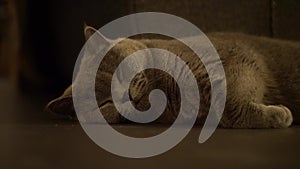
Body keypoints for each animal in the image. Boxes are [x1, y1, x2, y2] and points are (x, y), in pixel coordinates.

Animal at [45, 24, 300, 128]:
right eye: (105, 103)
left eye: (120, 74)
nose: (128, 96)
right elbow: (226, 110)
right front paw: (280, 115)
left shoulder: (238, 57)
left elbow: (230, 102)